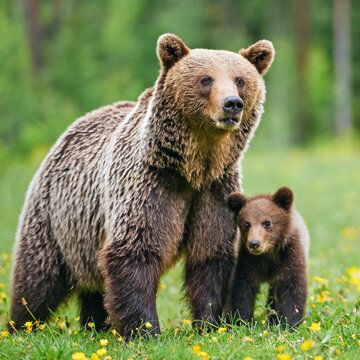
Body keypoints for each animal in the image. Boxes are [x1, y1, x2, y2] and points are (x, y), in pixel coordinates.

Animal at [10, 33, 276, 338]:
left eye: (240, 79)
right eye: (205, 79)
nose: (232, 104)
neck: (195, 166)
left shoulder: (215, 191)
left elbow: (210, 254)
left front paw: (209, 323)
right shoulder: (150, 184)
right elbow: (135, 249)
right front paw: (145, 330)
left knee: (93, 286)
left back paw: (95, 325)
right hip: (57, 219)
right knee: (37, 277)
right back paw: (21, 325)